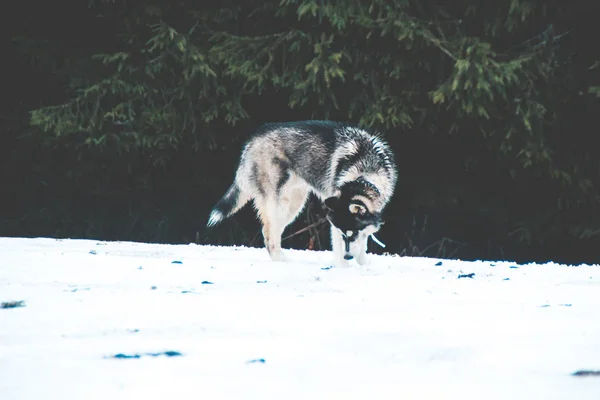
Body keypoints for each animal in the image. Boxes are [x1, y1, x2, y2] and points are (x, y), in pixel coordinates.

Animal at [207, 120, 398, 268]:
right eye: (344, 233)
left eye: (353, 233)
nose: (348, 256)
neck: (364, 173)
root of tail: (253, 139)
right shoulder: (335, 223)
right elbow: (340, 248)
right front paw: (343, 267)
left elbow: (363, 245)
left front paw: (362, 263)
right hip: (280, 205)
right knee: (268, 233)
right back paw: (280, 260)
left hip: (294, 205)